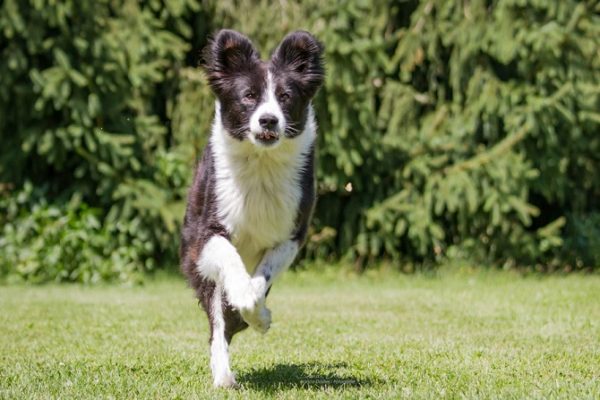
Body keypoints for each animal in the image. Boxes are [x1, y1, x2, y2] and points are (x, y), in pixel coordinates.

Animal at [180, 30, 326, 388]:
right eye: (248, 96)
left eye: (285, 96)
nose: (269, 119)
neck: (261, 163)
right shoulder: (206, 235)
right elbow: (231, 263)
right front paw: (244, 300)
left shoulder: (291, 234)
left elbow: (262, 279)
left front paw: (259, 316)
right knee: (218, 326)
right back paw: (223, 376)